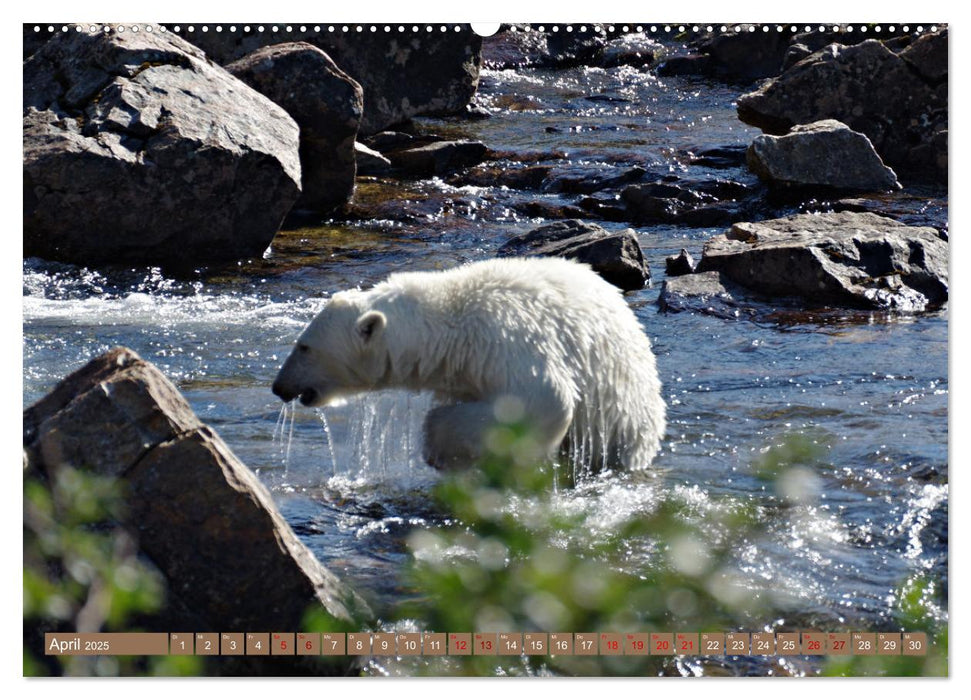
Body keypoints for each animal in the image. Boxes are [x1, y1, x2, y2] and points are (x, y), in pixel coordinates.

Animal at [274, 256, 668, 470]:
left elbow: (545, 399)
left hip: (625, 412)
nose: (279, 387)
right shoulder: (464, 371)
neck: (451, 328)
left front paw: (439, 451)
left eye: (304, 346)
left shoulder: (505, 342)